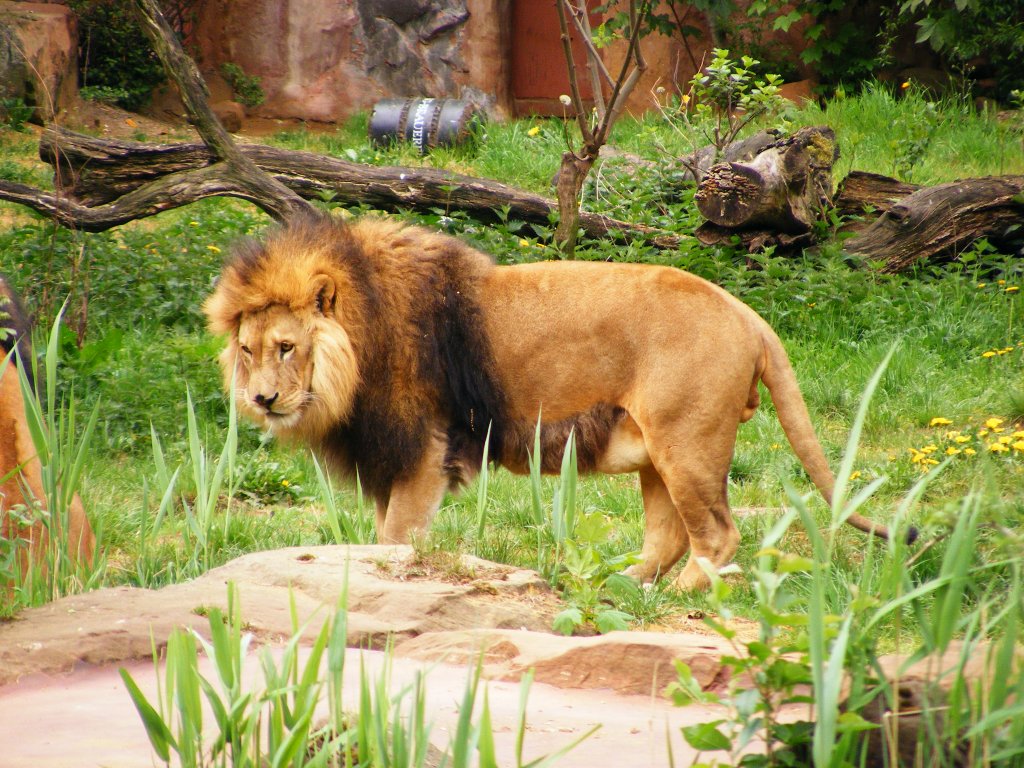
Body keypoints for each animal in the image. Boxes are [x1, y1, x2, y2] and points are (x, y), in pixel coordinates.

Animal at [205, 214, 897, 593]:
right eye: (247, 348)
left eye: (288, 347)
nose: (262, 399)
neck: (360, 345)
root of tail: (750, 316)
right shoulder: (386, 457)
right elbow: (382, 538)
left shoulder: (424, 450)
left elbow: (399, 537)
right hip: (660, 451)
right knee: (669, 533)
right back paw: (625, 586)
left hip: (688, 441)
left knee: (718, 535)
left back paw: (680, 594)